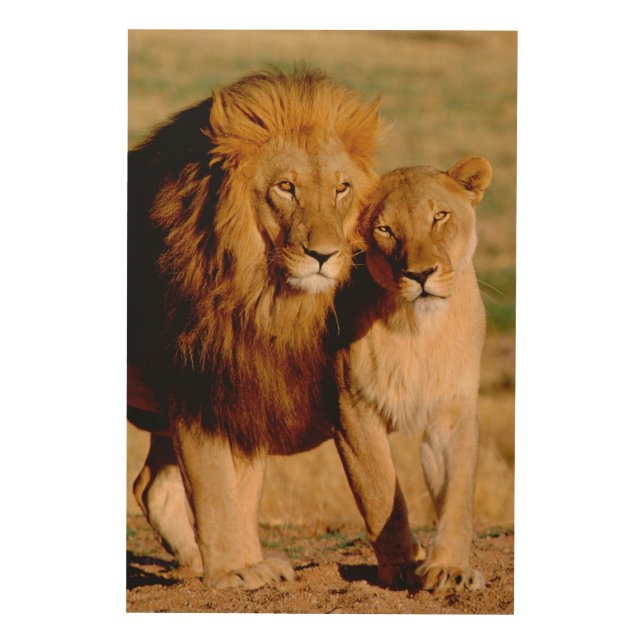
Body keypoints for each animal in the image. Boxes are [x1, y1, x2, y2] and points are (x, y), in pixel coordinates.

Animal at [128, 69, 381, 589]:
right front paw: (230, 571)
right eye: (286, 187)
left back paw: (190, 562)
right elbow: (215, 487)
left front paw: (248, 562)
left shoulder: (247, 383)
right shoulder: (197, 385)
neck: (262, 296)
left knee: (150, 487)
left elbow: (244, 490)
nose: (325, 254)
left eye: (342, 188)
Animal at [333, 157, 493, 592]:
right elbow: (379, 490)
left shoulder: (452, 410)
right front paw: (403, 565)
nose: (420, 275)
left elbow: (458, 494)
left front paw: (450, 569)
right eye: (386, 230)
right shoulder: (352, 411)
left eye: (439, 216)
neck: (418, 331)